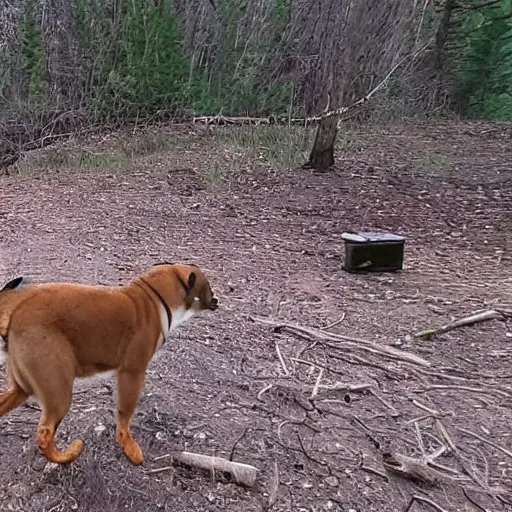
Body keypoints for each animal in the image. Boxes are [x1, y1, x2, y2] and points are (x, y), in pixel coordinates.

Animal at [0, 262, 218, 466]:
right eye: (208, 287)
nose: (216, 300)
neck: (154, 298)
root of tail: (18, 308)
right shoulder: (132, 372)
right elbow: (125, 413)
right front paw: (127, 444)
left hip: (23, 386)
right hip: (58, 392)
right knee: (45, 434)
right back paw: (67, 455)